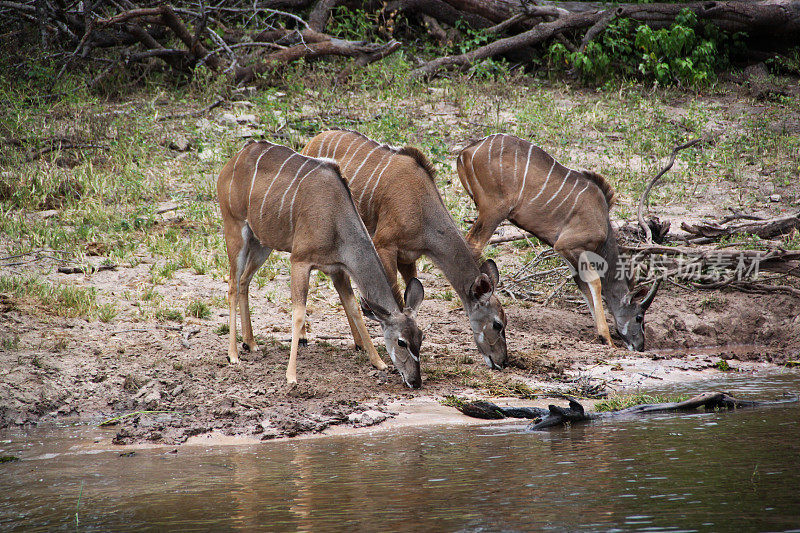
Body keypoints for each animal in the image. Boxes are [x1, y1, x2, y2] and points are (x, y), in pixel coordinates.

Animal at [216, 140, 422, 386]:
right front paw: (291, 376)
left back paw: (251, 343)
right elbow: (298, 314)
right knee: (232, 284)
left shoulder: (337, 269)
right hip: (235, 229)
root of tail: (231, 162)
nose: (416, 381)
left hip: (262, 243)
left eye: (420, 337)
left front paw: (378, 362)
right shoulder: (300, 260)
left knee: (245, 281)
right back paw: (233, 354)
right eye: (401, 342)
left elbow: (354, 308)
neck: (335, 217)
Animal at [304, 129, 510, 370]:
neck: (422, 208)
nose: (503, 361)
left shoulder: (408, 258)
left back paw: (359, 344)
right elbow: (394, 301)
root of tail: (312, 141)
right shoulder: (384, 245)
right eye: (497, 324)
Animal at [460, 132, 660, 350]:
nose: (640, 346)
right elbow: (595, 281)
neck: (603, 223)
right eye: (639, 317)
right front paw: (607, 339)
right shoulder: (568, 245)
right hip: (494, 210)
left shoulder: (567, 254)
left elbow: (583, 286)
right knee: (473, 244)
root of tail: (467, 151)